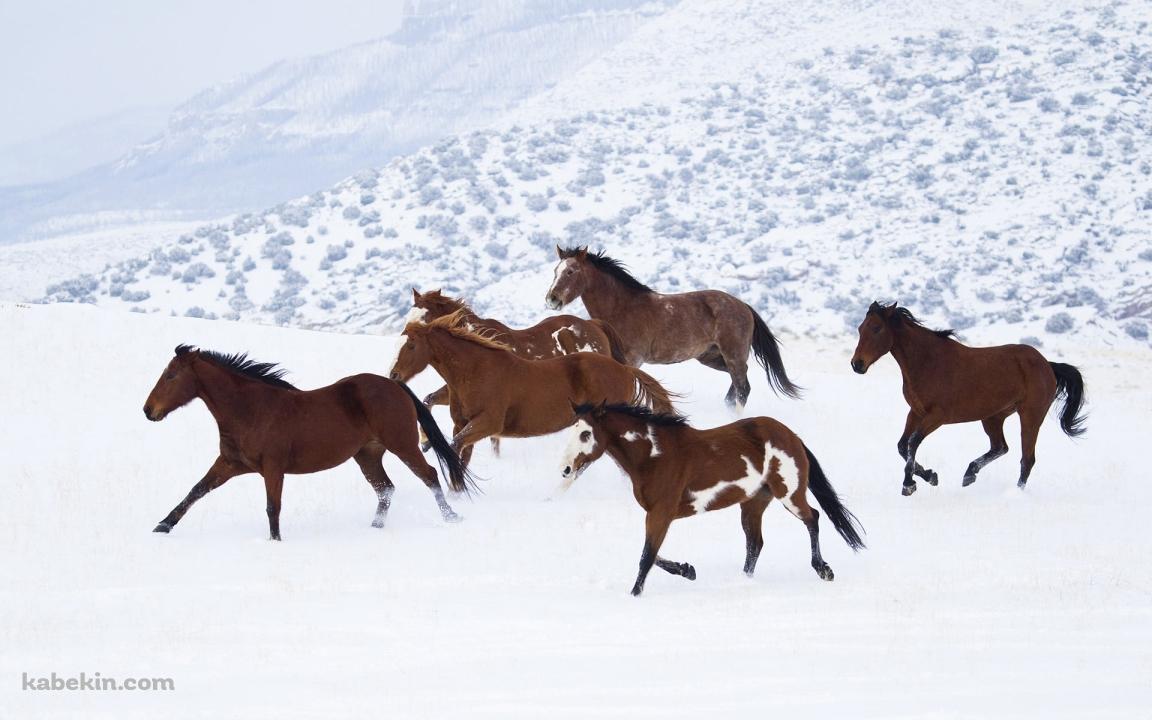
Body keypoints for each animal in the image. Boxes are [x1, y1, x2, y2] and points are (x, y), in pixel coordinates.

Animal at [143, 345, 473, 540]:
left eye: (171, 375)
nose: (148, 411)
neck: (251, 410)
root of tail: (395, 385)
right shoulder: (230, 463)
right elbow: (196, 490)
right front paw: (163, 526)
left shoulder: (273, 468)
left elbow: (272, 507)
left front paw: (275, 541)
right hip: (367, 454)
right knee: (385, 489)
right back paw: (375, 528)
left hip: (402, 444)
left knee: (429, 475)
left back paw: (452, 517)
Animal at [388, 310, 678, 470]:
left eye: (411, 345)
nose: (393, 375)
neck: (477, 371)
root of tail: (625, 369)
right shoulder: (463, 424)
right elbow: (458, 449)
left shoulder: (488, 424)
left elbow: (454, 445)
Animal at [544, 246, 801, 409]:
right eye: (555, 271)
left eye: (571, 271)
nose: (552, 299)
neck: (621, 308)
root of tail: (744, 306)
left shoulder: (633, 360)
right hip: (712, 357)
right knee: (737, 387)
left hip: (733, 355)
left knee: (742, 389)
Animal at [559, 402, 865, 596]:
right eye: (570, 431)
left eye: (585, 433)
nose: (566, 469)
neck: (654, 455)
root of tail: (791, 436)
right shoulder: (658, 515)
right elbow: (654, 555)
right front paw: (688, 570)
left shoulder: (661, 513)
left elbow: (646, 557)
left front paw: (635, 594)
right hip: (753, 503)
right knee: (755, 544)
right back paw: (743, 581)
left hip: (789, 493)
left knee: (813, 518)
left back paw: (824, 570)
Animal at [850, 302, 1087, 496]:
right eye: (861, 329)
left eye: (877, 328)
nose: (857, 364)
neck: (928, 362)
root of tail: (1047, 364)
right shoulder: (916, 412)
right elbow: (902, 446)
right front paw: (930, 476)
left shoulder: (937, 416)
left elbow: (913, 442)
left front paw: (909, 484)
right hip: (993, 417)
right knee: (1000, 447)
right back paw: (969, 474)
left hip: (1030, 416)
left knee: (1026, 459)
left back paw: (1015, 492)